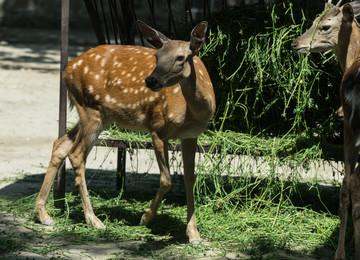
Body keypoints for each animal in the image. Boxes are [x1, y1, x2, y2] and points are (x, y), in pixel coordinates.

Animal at [33, 20, 215, 244]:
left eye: (181, 57)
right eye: (157, 56)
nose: (150, 80)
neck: (193, 112)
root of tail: (67, 68)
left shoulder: (191, 135)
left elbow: (190, 178)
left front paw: (193, 234)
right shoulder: (157, 128)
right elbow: (166, 179)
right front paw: (145, 217)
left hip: (100, 115)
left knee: (60, 144)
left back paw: (44, 215)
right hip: (90, 109)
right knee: (76, 154)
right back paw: (93, 219)